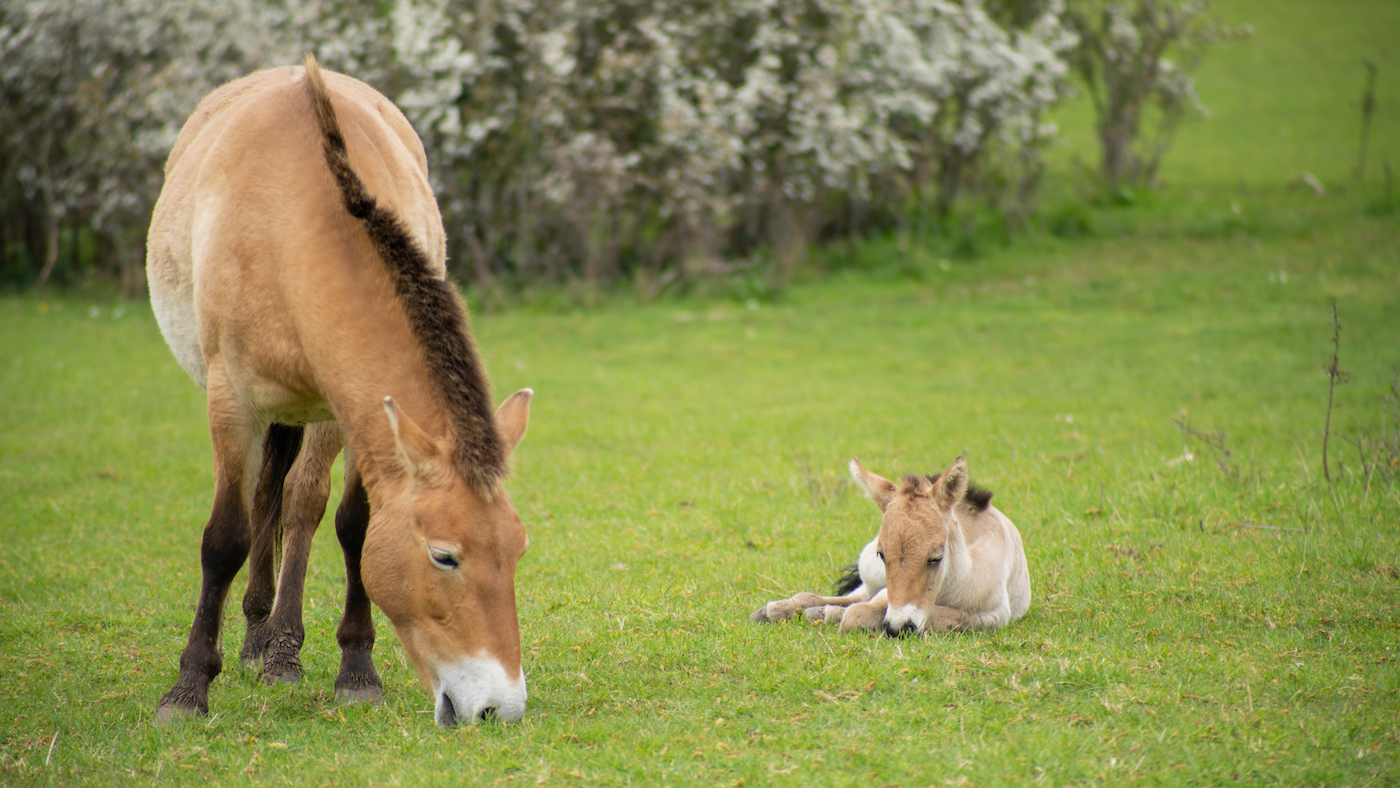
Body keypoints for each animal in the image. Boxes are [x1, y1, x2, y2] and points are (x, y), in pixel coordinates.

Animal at [144, 53, 532, 727]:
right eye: (444, 555)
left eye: (519, 550)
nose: (499, 707)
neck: (294, 226)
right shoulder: (232, 402)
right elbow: (225, 538)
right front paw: (188, 688)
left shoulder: (346, 407)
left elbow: (351, 523)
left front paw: (356, 670)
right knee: (262, 502)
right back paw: (257, 642)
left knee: (293, 500)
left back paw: (278, 649)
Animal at [750, 459, 1036, 638]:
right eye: (882, 554)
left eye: (936, 557)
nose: (899, 629)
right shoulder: (887, 592)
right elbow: (860, 611)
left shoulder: (995, 616)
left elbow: (946, 616)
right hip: (871, 575)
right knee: (853, 595)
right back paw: (780, 610)